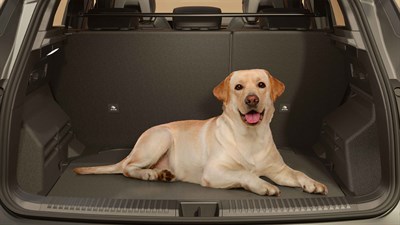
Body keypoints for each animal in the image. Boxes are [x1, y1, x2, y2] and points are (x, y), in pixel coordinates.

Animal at [74, 69, 328, 196]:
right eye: (238, 87)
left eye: (261, 85)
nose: (252, 99)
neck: (250, 137)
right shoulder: (214, 171)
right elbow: (245, 174)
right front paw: (261, 184)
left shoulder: (278, 170)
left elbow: (298, 173)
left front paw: (312, 182)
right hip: (160, 138)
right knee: (128, 168)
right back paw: (149, 174)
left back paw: (160, 173)